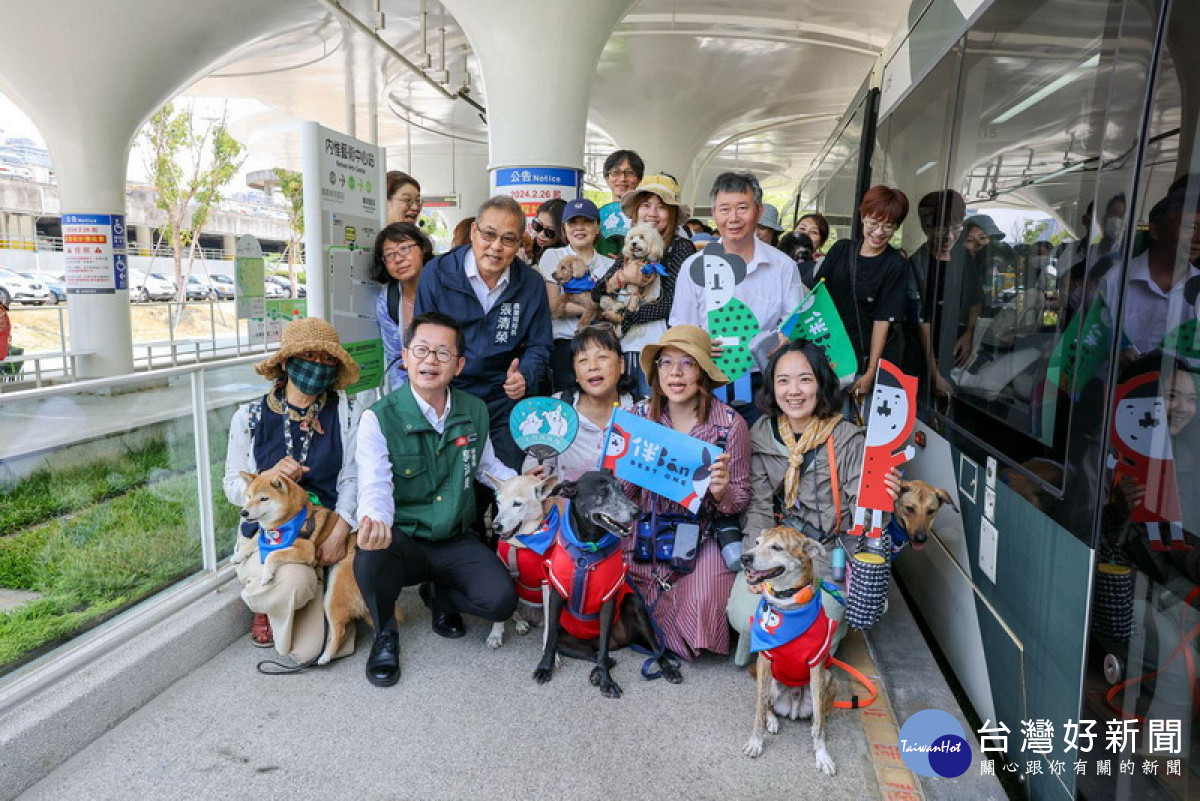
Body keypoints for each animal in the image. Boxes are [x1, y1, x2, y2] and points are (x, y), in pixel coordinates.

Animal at [535, 472, 686, 695]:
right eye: (603, 493)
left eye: (622, 490)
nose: (637, 512)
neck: (587, 550)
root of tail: (620, 641)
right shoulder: (556, 594)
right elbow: (550, 637)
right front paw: (545, 667)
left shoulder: (608, 600)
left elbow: (605, 647)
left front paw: (606, 681)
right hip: (568, 638)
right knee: (596, 654)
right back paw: (596, 671)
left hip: (635, 603)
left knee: (649, 649)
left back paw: (667, 669)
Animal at [734, 525, 840, 777]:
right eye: (757, 542)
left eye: (776, 547)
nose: (744, 558)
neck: (788, 604)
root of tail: (793, 707)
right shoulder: (764, 661)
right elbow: (759, 709)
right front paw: (756, 742)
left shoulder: (816, 666)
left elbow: (820, 722)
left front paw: (822, 755)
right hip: (773, 682)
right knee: (767, 705)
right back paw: (772, 721)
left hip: (830, 679)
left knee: (821, 715)